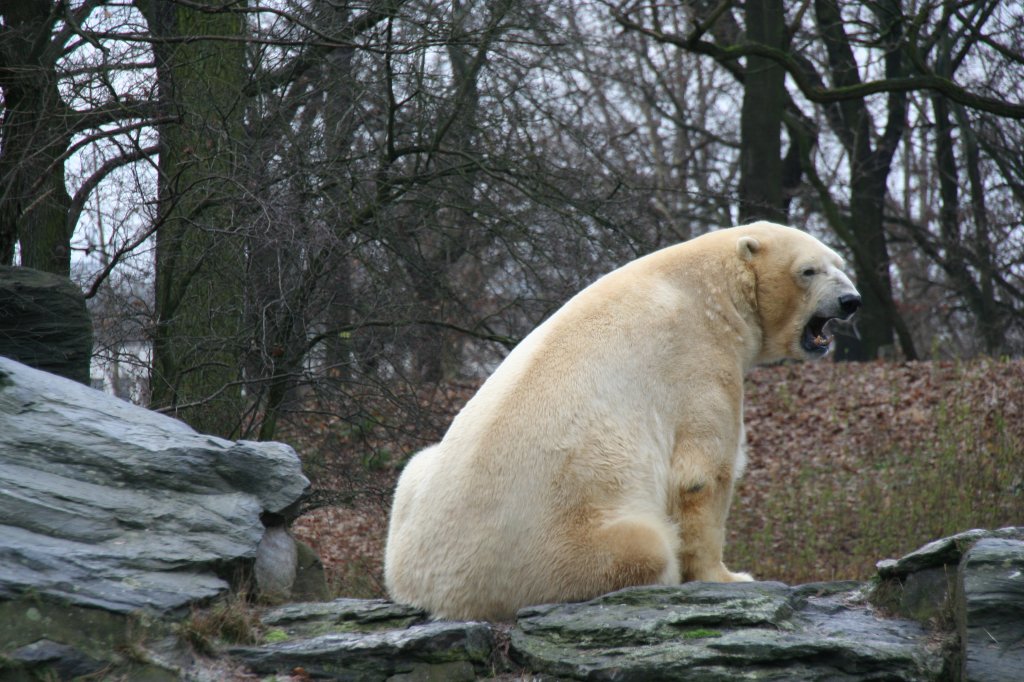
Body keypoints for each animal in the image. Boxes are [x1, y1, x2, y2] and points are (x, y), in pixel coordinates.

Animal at [385, 220, 856, 618]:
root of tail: (442, 593)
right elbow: (702, 474)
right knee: (644, 547)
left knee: (415, 464)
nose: (851, 300)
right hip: (559, 542)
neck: (710, 287)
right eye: (809, 270)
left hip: (415, 495)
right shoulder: (698, 358)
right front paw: (731, 577)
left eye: (839, 263)